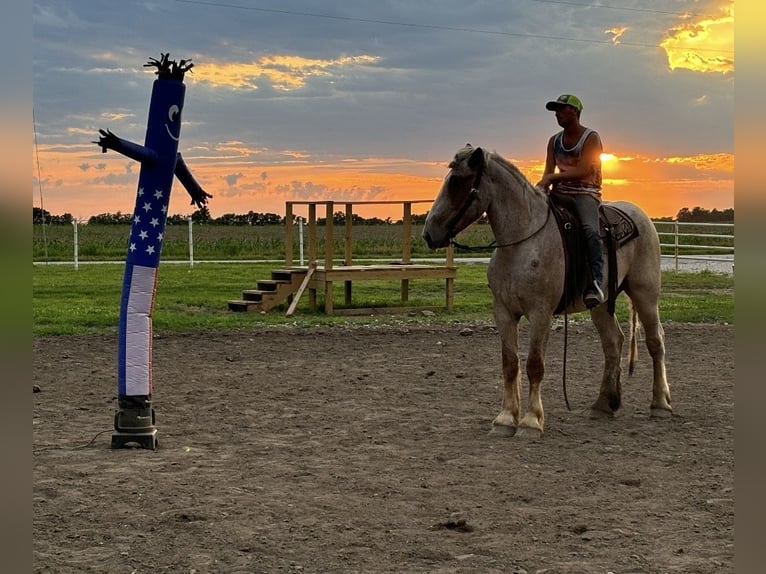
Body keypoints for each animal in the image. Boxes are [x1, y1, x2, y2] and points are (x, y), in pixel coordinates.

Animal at [424, 146, 676, 438]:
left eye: (457, 182)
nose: (428, 233)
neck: (522, 243)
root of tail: (641, 216)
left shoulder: (540, 312)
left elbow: (535, 364)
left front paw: (531, 421)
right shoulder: (503, 311)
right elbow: (510, 363)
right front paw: (505, 419)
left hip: (645, 294)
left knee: (656, 342)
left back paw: (660, 404)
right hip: (601, 304)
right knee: (613, 342)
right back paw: (604, 404)